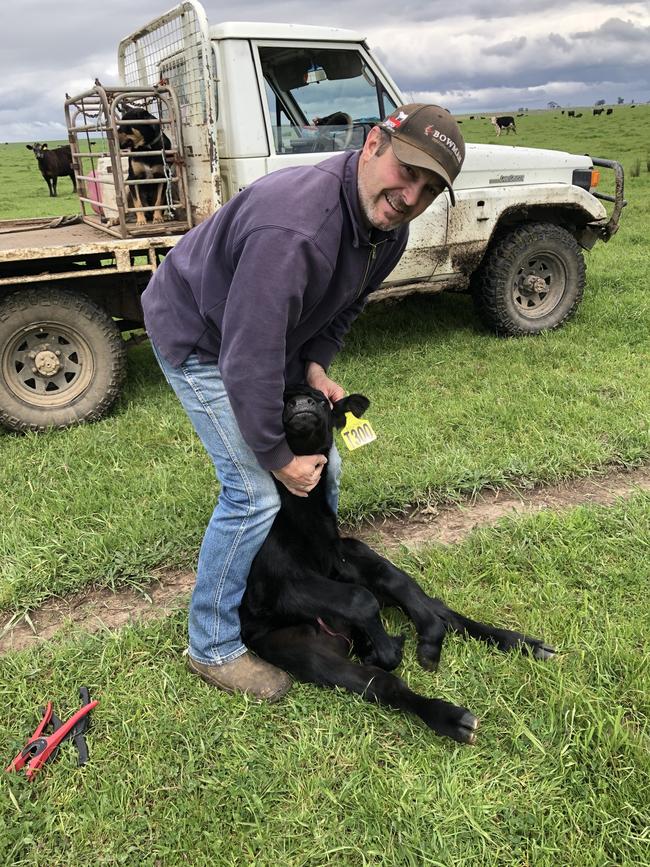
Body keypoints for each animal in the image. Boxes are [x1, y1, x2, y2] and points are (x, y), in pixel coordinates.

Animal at [240, 388, 556, 744]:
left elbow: (389, 581)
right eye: (282, 400)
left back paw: (522, 644)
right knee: (380, 683)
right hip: (303, 650)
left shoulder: (340, 556)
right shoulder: (274, 586)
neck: (304, 519)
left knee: (438, 608)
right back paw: (451, 717)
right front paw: (392, 650)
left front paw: (424, 640)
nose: (301, 406)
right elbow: (359, 598)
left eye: (321, 400)